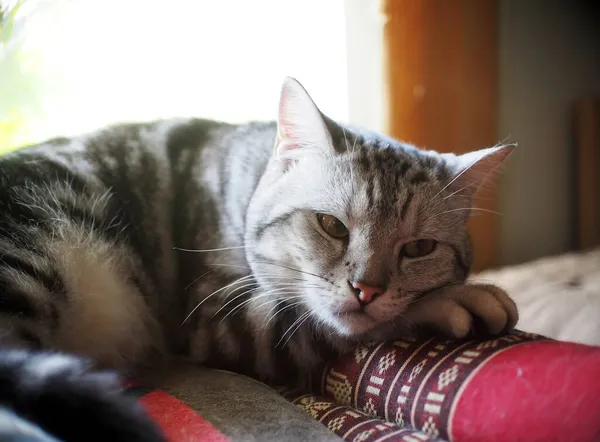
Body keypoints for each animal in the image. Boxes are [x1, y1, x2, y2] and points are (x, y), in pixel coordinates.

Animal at [0, 77, 516, 440]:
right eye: (331, 225)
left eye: (418, 248)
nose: (367, 289)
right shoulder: (217, 316)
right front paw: (455, 298)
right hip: (33, 259)